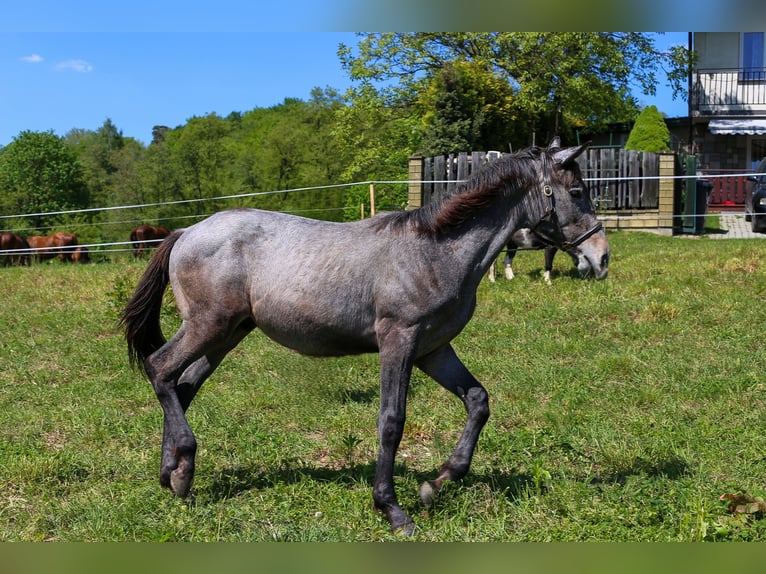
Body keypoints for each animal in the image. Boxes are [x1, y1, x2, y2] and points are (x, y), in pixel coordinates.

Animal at [121, 140, 612, 536]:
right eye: (576, 192)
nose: (601, 257)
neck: (434, 250)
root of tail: (186, 232)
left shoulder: (433, 349)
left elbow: (478, 401)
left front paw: (437, 483)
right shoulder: (399, 341)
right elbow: (391, 422)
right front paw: (393, 510)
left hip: (228, 334)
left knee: (182, 385)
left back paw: (175, 475)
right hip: (208, 326)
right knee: (160, 369)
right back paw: (181, 466)